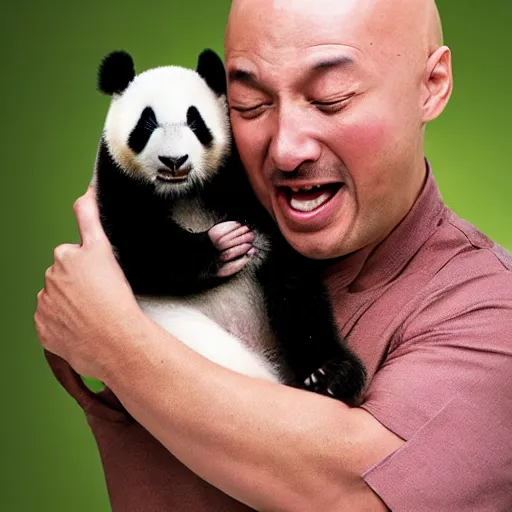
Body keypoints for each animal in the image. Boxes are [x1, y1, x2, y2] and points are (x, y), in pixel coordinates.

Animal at [94, 50, 366, 406]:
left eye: (196, 122)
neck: (183, 192)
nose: (174, 160)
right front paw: (222, 246)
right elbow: (142, 248)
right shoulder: (117, 181)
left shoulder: (240, 178)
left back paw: (332, 375)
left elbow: (292, 275)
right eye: (146, 124)